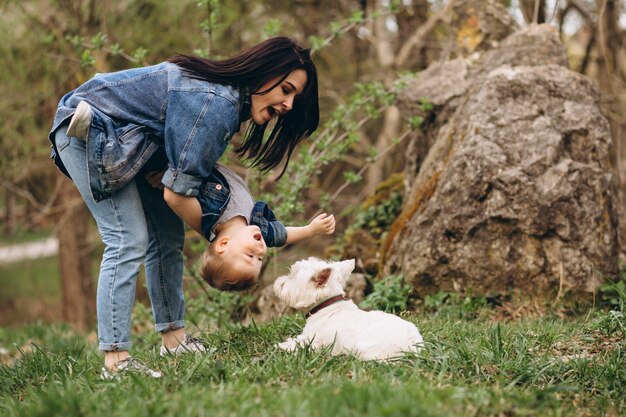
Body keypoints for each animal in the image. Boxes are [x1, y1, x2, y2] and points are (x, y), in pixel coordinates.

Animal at [274, 255, 424, 360]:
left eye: (292, 275)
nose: (279, 282)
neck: (326, 307)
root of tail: (412, 346)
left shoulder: (314, 342)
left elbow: (298, 343)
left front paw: (282, 345)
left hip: (364, 348)